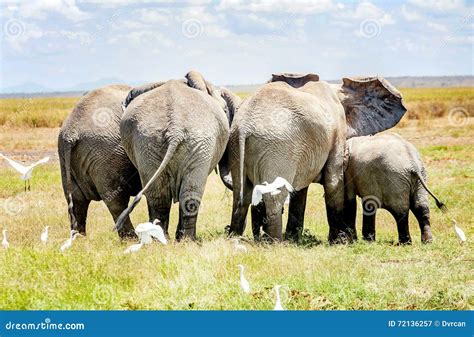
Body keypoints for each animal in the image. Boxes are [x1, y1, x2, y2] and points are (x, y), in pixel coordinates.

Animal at [58, 84, 142, 238]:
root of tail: (71, 132)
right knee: (117, 201)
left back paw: (80, 240)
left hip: (67, 158)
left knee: (77, 201)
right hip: (106, 153)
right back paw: (132, 239)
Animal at [115, 70, 241, 239]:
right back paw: (182, 240)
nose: (227, 228)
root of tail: (175, 128)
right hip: (157, 143)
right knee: (172, 196)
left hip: (161, 142)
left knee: (168, 197)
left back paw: (173, 240)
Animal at [220, 73, 406, 242]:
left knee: (241, 194)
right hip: (277, 149)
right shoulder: (336, 131)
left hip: (237, 147)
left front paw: (294, 238)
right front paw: (337, 242)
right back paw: (275, 242)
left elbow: (300, 189)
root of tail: (245, 126)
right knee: (274, 196)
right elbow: (333, 180)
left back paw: (235, 237)